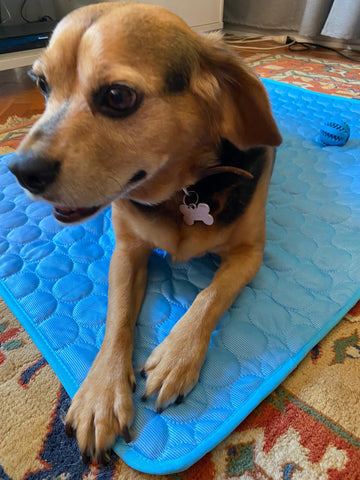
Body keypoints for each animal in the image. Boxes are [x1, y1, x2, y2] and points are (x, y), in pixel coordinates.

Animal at [7, 1, 282, 464]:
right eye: (42, 84)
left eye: (118, 97)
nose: (19, 171)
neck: (183, 190)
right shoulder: (127, 251)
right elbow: (117, 316)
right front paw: (101, 394)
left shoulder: (250, 253)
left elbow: (210, 297)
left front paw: (176, 357)